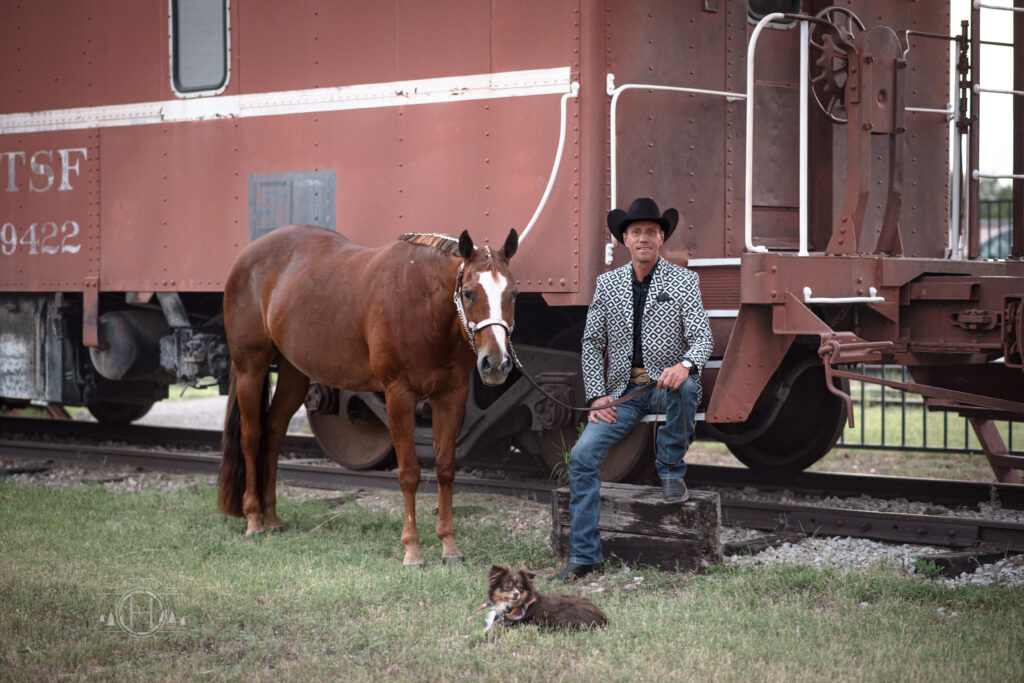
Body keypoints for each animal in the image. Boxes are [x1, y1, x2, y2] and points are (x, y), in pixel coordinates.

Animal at [217, 225, 520, 565]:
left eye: (513, 293)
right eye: (468, 292)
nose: (497, 363)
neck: (423, 305)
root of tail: (247, 256)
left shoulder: (451, 395)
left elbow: (445, 468)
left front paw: (449, 546)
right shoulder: (398, 395)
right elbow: (409, 473)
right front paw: (412, 550)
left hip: (294, 373)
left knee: (273, 433)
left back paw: (272, 518)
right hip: (250, 367)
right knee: (251, 436)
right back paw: (254, 519)